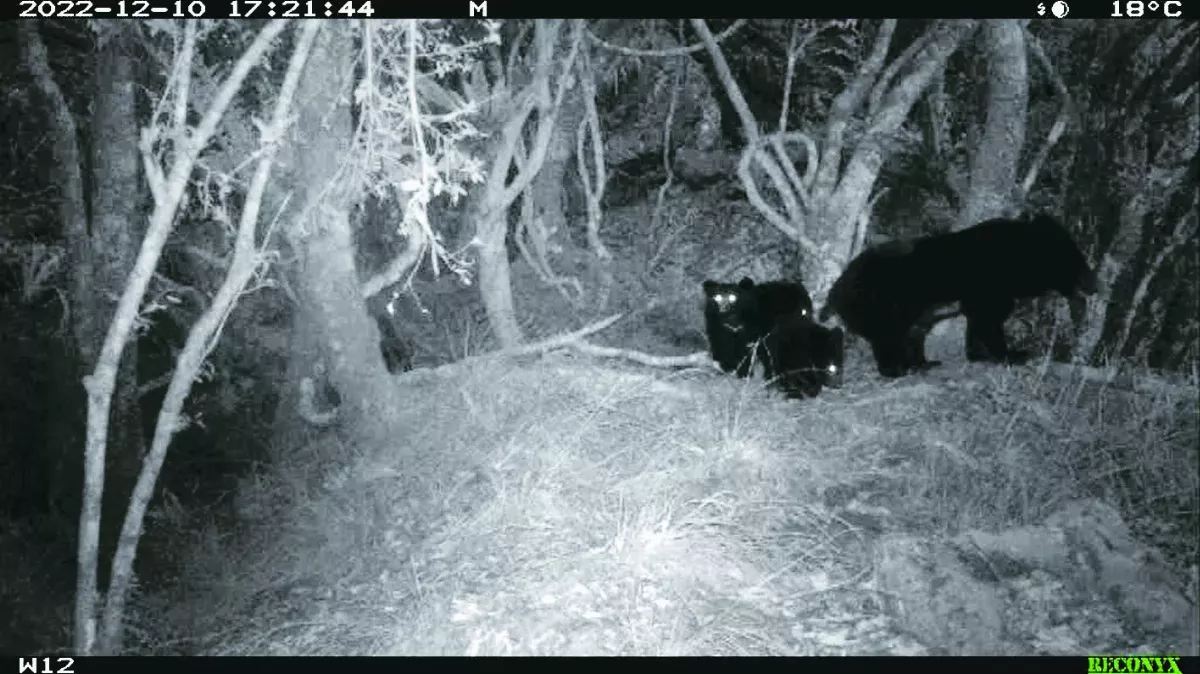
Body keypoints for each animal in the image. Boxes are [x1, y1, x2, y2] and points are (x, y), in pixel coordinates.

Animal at [818, 214, 1097, 378]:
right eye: (1077, 261)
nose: (1094, 284)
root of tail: (837, 289)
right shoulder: (990, 285)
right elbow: (989, 319)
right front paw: (1013, 354)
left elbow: (979, 320)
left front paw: (979, 354)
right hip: (881, 300)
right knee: (889, 335)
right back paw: (898, 368)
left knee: (913, 333)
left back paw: (923, 363)